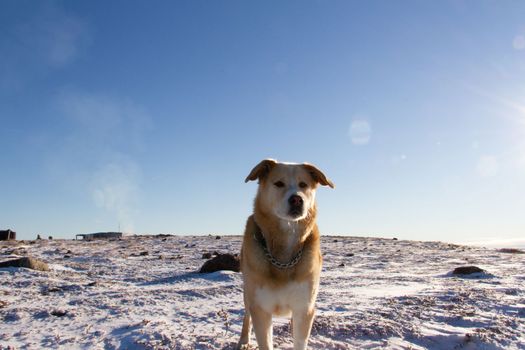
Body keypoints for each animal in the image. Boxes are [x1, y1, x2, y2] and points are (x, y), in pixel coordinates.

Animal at [236, 159, 332, 350]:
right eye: (279, 183)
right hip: (248, 292)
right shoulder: (261, 308)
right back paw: (244, 340)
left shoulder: (304, 307)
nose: (296, 199)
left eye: (303, 184)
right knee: (246, 315)